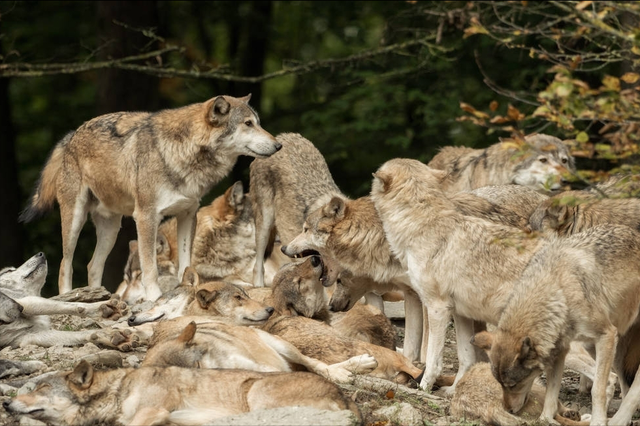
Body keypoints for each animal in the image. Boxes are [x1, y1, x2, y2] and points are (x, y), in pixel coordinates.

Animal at [20, 95, 280, 302]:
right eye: (248, 124)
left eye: (258, 123)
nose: (278, 145)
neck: (184, 153)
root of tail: (72, 134)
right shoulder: (146, 217)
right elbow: (150, 267)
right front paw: (155, 296)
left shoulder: (188, 214)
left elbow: (185, 263)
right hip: (75, 220)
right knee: (65, 265)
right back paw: (68, 296)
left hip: (111, 230)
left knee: (92, 266)